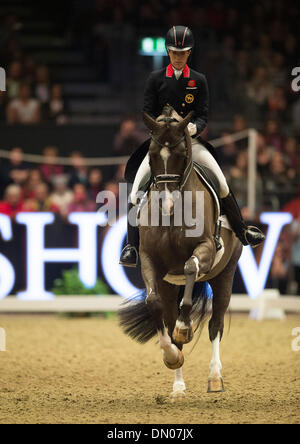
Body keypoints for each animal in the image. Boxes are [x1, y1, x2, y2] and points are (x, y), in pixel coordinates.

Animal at [118, 105, 243, 402]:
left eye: (180, 154)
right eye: (152, 155)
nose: (167, 204)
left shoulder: (206, 249)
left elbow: (190, 268)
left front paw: (185, 328)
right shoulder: (150, 263)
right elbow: (154, 306)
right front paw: (172, 356)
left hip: (225, 274)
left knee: (215, 325)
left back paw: (215, 378)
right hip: (169, 285)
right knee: (170, 316)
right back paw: (178, 388)